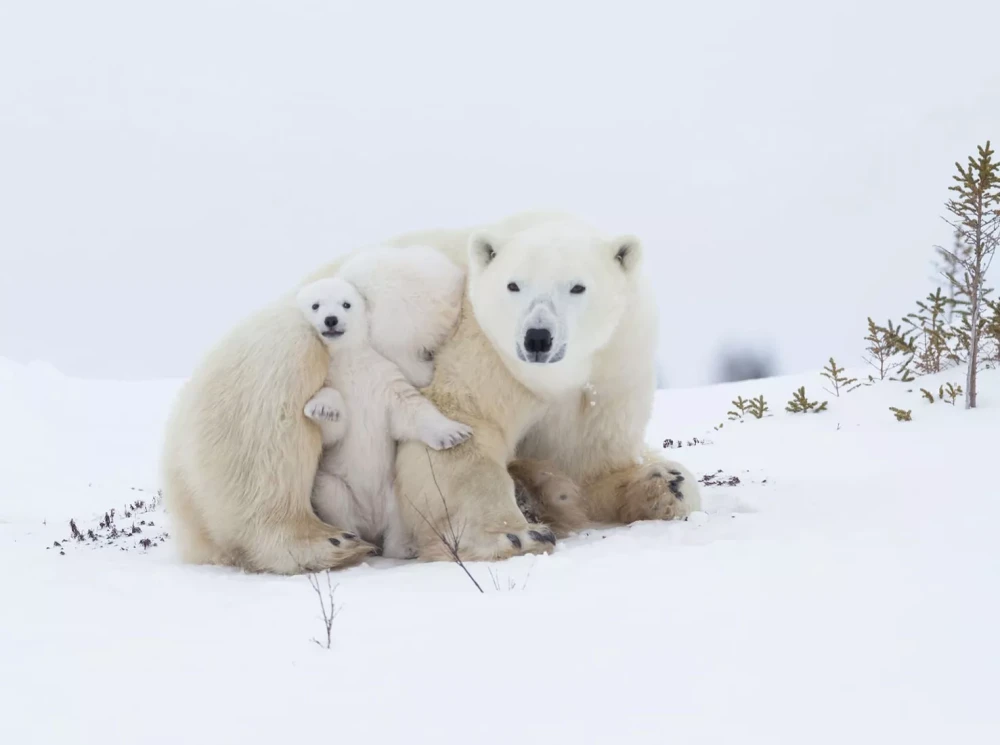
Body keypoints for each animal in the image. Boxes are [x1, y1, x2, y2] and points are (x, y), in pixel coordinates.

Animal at [162, 212, 696, 572]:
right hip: (262, 371)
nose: (537, 339)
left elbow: (588, 462)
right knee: (270, 430)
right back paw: (327, 542)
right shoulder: (477, 340)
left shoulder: (611, 369)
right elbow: (460, 432)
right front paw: (516, 535)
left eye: (577, 287)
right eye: (513, 286)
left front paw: (663, 482)